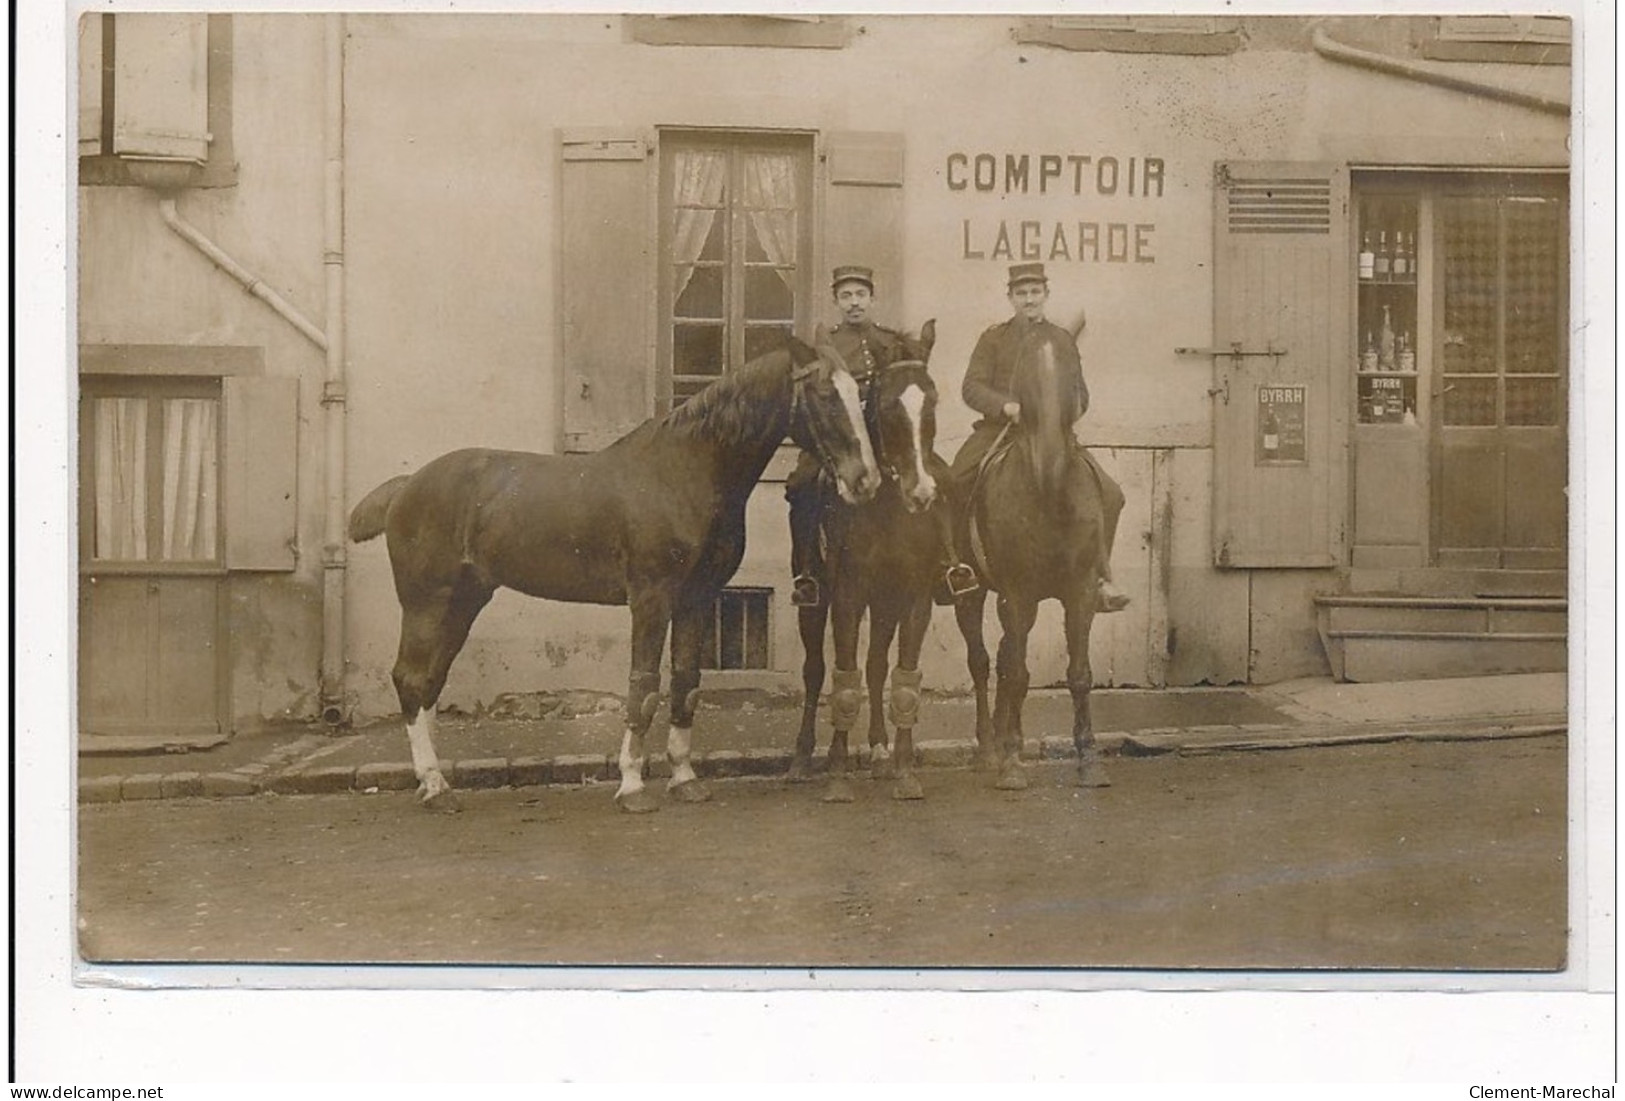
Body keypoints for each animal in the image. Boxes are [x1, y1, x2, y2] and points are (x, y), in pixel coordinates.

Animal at [351, 341, 884, 815]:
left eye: (858, 394)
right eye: (823, 393)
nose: (866, 480)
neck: (684, 469)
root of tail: (407, 486)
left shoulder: (696, 600)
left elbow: (686, 683)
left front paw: (685, 780)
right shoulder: (651, 598)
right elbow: (643, 686)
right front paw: (632, 787)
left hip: (464, 602)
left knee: (429, 681)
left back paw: (431, 782)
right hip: (427, 602)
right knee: (411, 678)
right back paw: (435, 788)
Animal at [789, 323, 949, 805]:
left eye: (933, 400)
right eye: (888, 404)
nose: (922, 491)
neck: (889, 506)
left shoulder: (914, 598)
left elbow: (903, 678)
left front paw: (904, 769)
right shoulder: (847, 595)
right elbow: (843, 681)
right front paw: (839, 774)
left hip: (886, 603)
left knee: (878, 667)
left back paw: (879, 751)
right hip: (815, 600)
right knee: (815, 672)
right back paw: (802, 758)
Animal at [949, 329, 1118, 792]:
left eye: (1074, 363)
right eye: (1025, 366)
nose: (1050, 455)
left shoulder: (1079, 594)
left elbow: (1079, 674)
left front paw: (1088, 759)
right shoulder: (1019, 595)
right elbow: (1018, 673)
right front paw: (1011, 762)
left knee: (1004, 658)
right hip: (974, 596)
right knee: (983, 663)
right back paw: (990, 750)